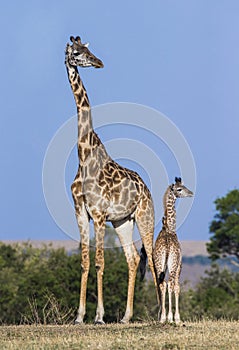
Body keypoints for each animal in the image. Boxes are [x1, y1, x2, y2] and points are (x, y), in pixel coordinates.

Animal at [65, 35, 159, 322]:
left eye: (88, 49)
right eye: (76, 53)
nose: (99, 62)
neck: (84, 156)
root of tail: (146, 189)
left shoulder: (98, 214)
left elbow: (99, 261)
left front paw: (98, 315)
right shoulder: (81, 213)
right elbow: (85, 261)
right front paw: (79, 316)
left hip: (145, 216)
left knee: (152, 258)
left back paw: (162, 313)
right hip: (122, 222)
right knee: (133, 258)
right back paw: (127, 316)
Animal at [152, 178, 193, 326]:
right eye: (179, 189)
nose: (191, 193)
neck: (169, 228)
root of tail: (167, 247)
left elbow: (164, 285)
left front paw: (164, 317)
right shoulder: (179, 264)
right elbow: (177, 286)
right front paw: (177, 318)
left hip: (159, 264)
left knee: (162, 284)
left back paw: (163, 318)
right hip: (173, 264)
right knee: (171, 284)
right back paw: (170, 318)